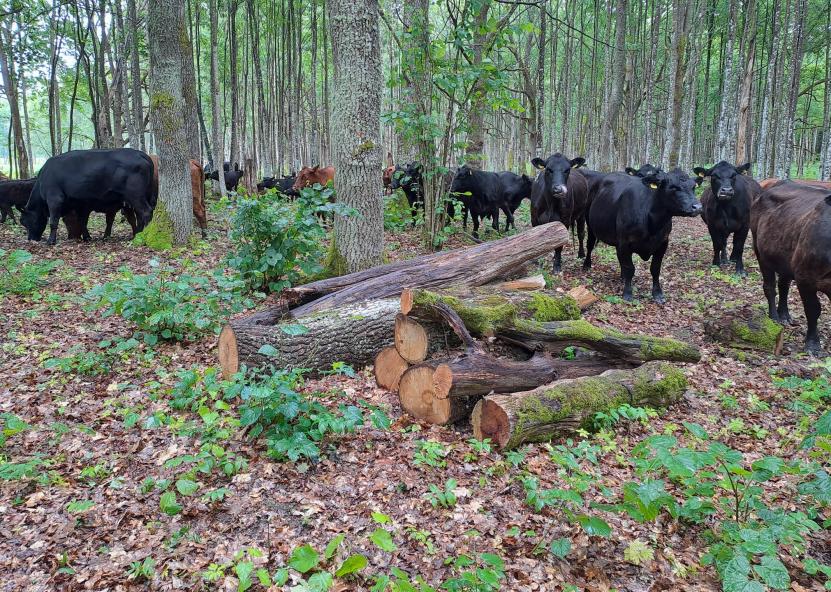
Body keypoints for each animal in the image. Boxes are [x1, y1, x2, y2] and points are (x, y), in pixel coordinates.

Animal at [22, 149, 156, 244]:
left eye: (26, 222)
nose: (31, 239)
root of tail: (141, 154)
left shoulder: (54, 199)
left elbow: (54, 220)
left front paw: (51, 241)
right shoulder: (82, 204)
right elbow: (82, 221)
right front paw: (87, 237)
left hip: (135, 196)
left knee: (146, 212)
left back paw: (143, 233)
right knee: (139, 215)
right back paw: (138, 233)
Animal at [584, 169, 704, 302]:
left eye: (693, 187)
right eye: (673, 187)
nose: (697, 207)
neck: (653, 223)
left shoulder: (663, 243)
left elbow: (655, 269)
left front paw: (657, 293)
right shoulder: (625, 242)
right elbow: (630, 269)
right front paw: (628, 293)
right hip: (589, 223)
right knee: (590, 245)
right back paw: (586, 265)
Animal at [752, 180, 831, 354]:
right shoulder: (805, 278)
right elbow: (813, 310)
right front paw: (812, 344)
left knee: (784, 286)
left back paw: (784, 315)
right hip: (761, 252)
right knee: (770, 287)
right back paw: (774, 317)